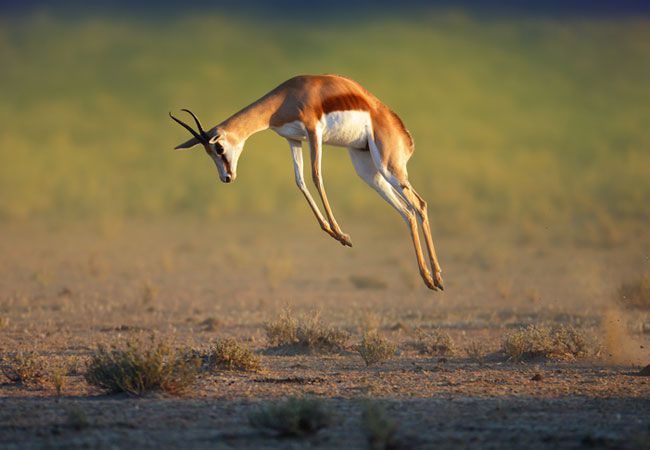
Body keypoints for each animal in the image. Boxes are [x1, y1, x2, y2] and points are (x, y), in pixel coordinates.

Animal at [168, 74, 440, 288]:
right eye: (209, 153)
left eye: (219, 148)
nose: (226, 177)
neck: (285, 98)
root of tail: (403, 133)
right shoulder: (294, 139)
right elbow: (300, 182)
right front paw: (336, 235)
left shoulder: (313, 132)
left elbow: (316, 176)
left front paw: (342, 236)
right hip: (368, 171)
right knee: (407, 211)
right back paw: (428, 279)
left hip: (388, 167)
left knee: (419, 204)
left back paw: (437, 278)